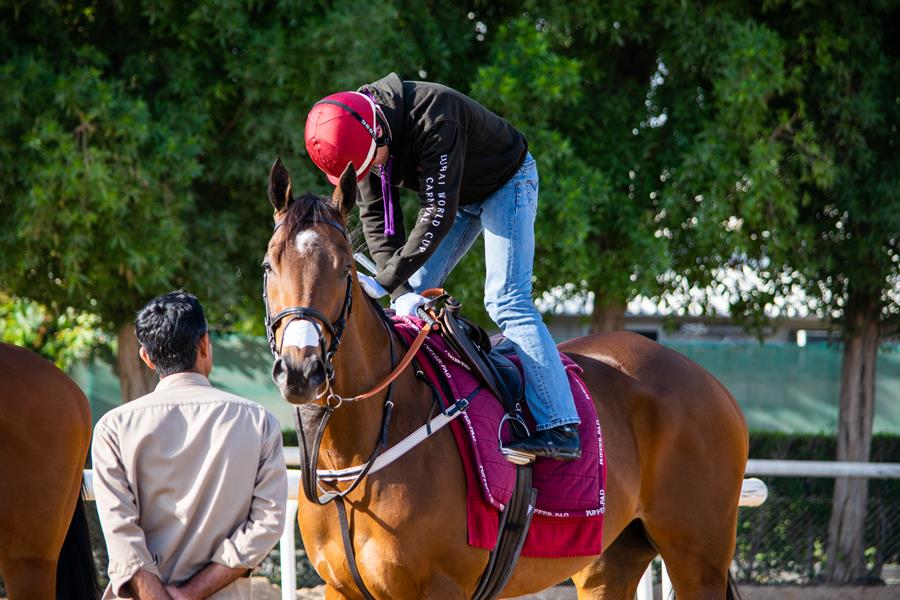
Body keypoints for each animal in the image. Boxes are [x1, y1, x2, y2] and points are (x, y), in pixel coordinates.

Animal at [262, 160, 749, 599]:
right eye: (269, 266)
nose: (301, 369)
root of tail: (710, 383)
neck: (355, 450)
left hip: (698, 560)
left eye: (345, 269)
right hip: (610, 562)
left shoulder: (439, 588)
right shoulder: (339, 588)